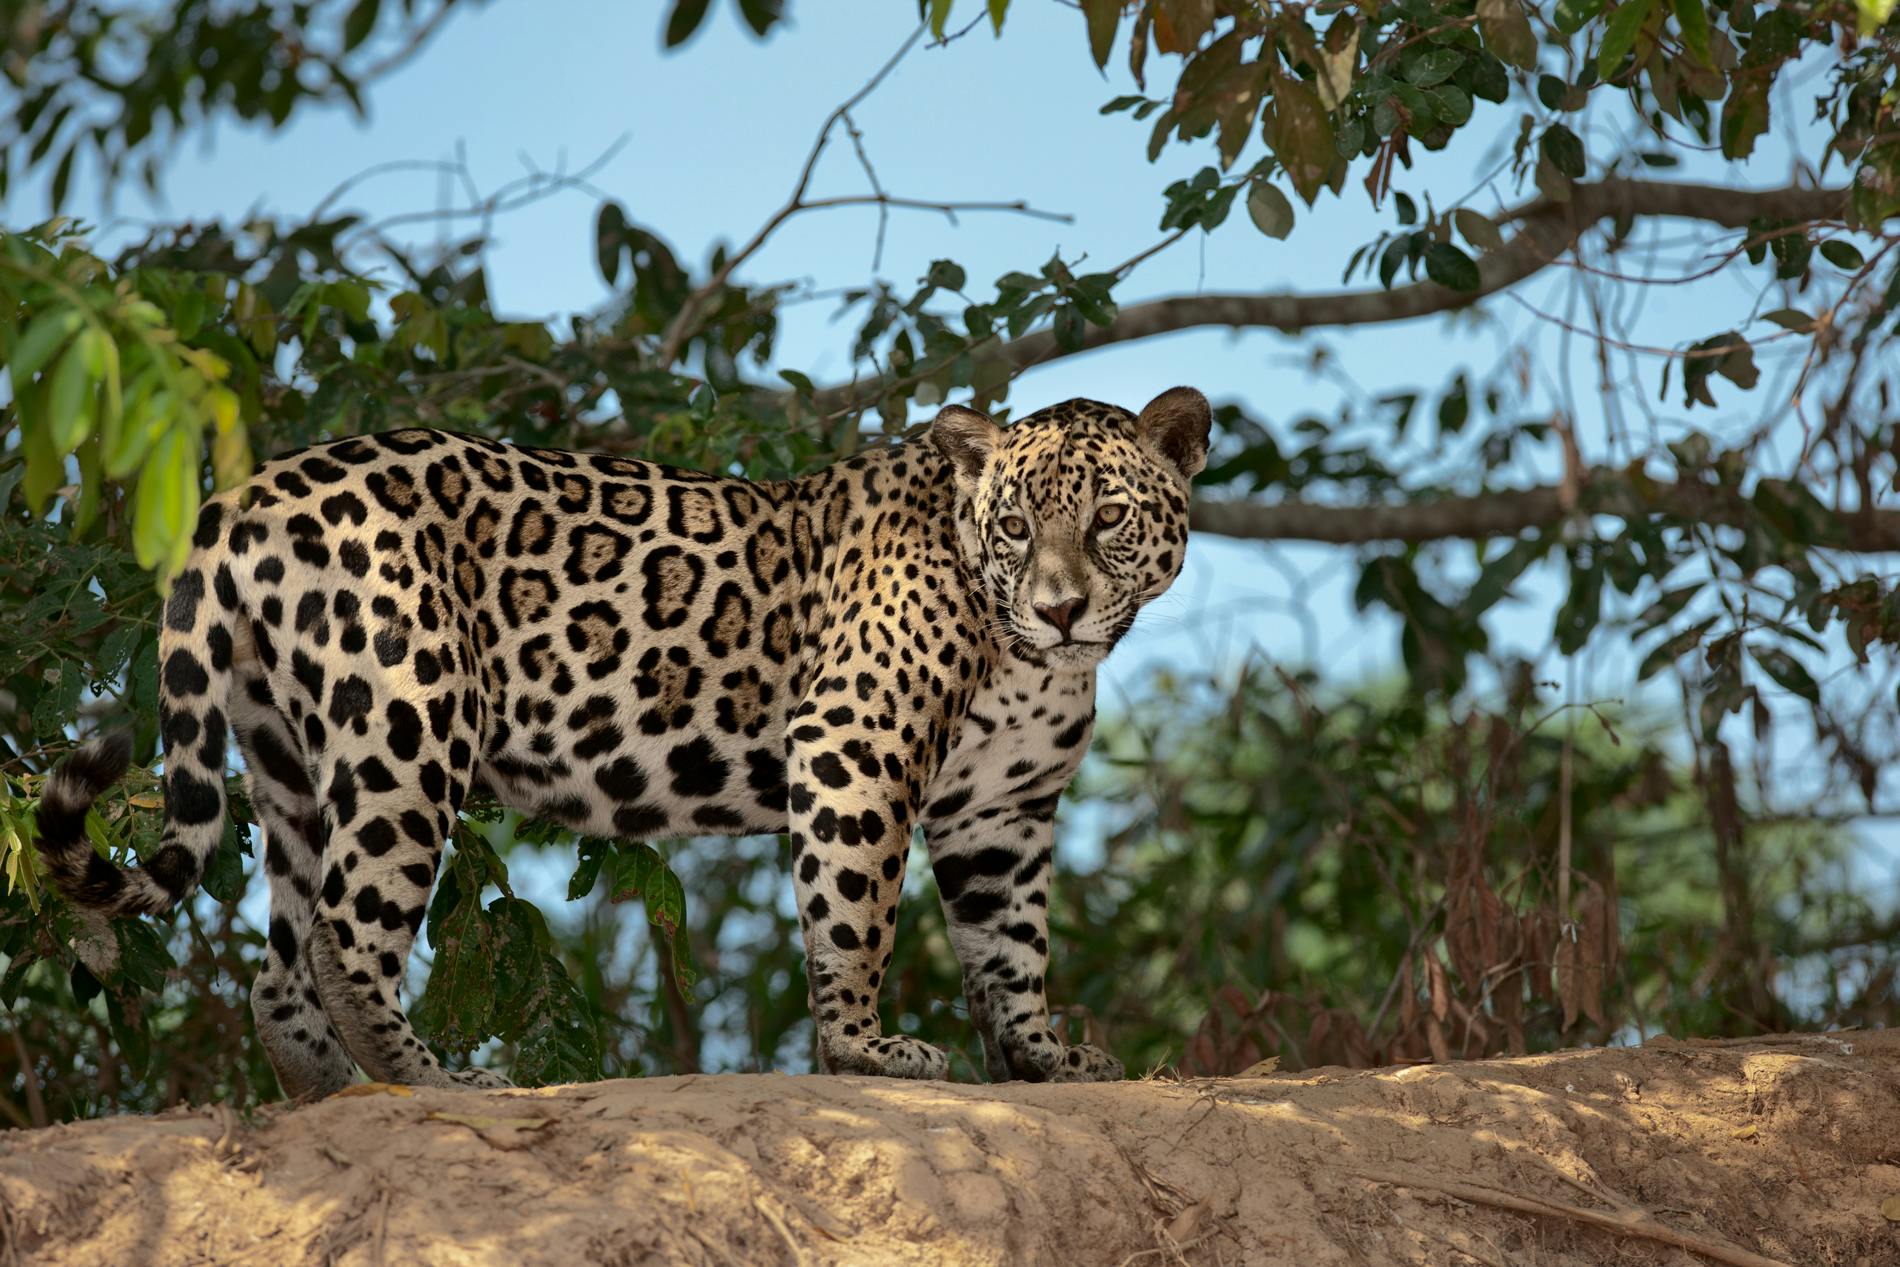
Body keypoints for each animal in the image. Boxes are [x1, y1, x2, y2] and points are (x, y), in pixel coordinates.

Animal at [36, 386, 1211, 1097]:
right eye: (1014, 525)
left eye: (1107, 520)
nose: (1059, 607)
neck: (1035, 656)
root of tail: (245, 493)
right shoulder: (856, 738)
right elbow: (856, 914)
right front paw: (864, 1050)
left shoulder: (1001, 808)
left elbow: (1012, 946)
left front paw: (1043, 1058)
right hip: (406, 719)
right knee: (345, 934)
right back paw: (440, 1080)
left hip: (287, 758)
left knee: (280, 969)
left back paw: (340, 1094)